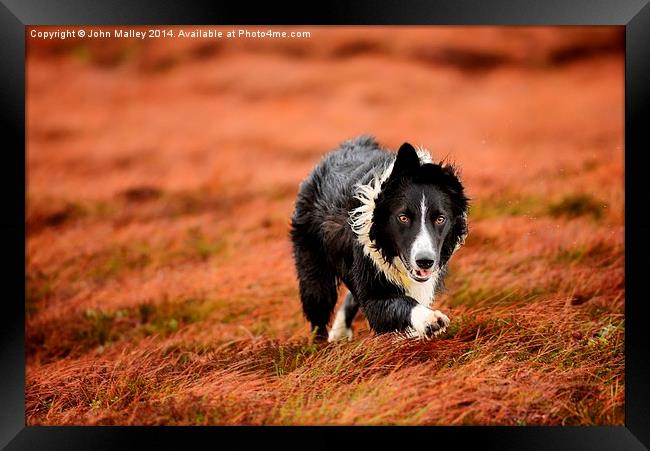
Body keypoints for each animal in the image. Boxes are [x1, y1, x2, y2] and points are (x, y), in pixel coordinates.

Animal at [288, 136, 466, 340]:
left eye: (440, 219)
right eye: (403, 217)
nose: (425, 262)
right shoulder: (372, 285)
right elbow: (398, 303)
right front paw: (429, 320)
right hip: (313, 266)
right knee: (318, 306)